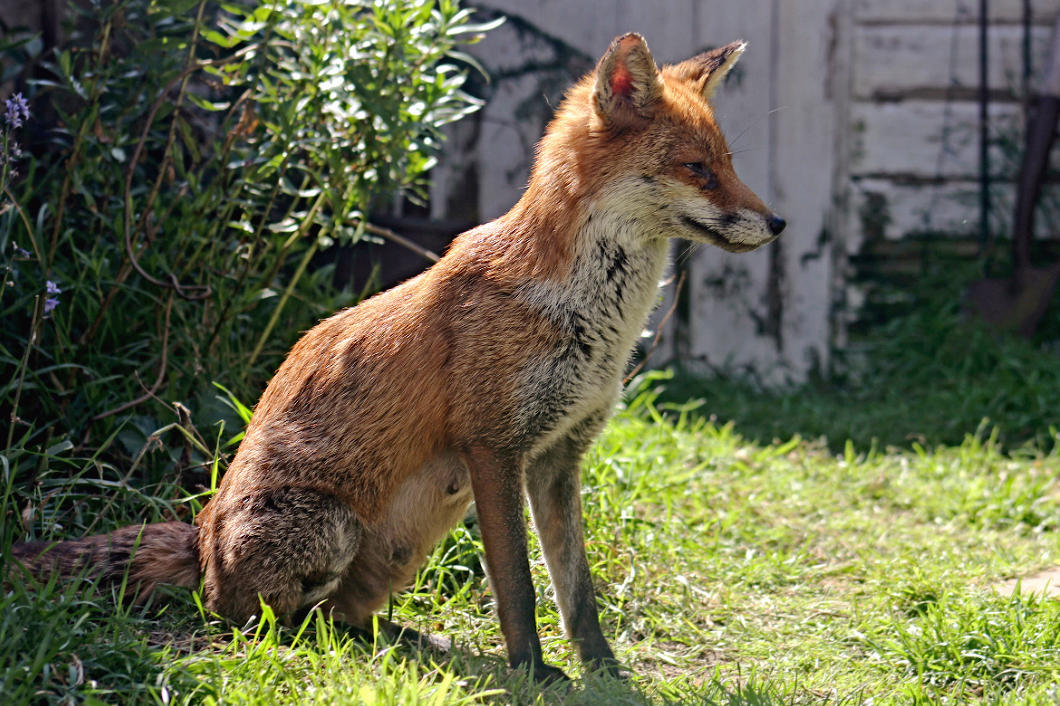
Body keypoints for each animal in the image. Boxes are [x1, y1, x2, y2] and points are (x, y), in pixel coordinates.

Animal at [12, 33, 784, 681]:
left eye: (730, 164)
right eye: (697, 168)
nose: (778, 222)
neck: (591, 321)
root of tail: (198, 538)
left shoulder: (559, 457)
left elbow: (577, 592)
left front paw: (602, 672)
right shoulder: (493, 448)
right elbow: (519, 587)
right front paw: (533, 675)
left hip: (396, 552)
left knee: (343, 619)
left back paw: (408, 640)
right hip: (327, 530)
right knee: (261, 621)